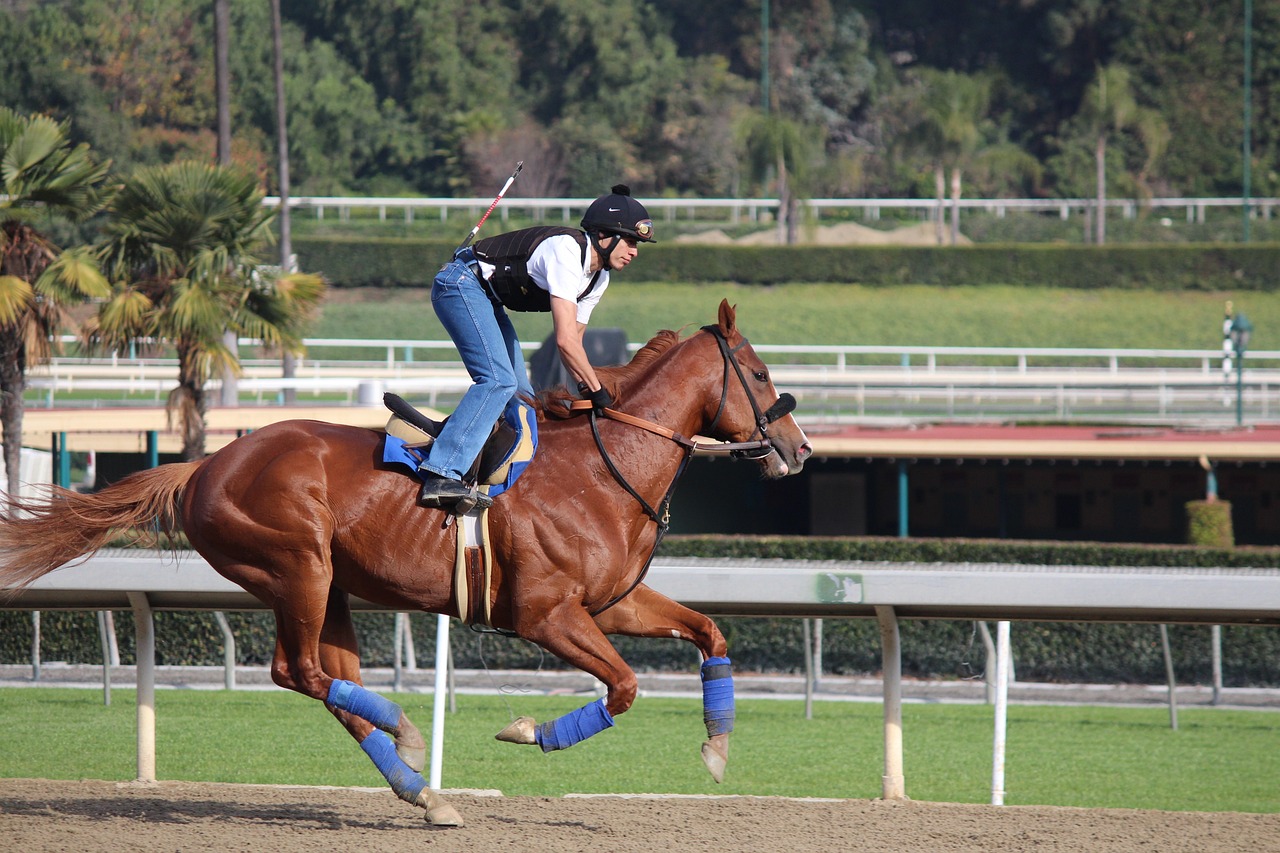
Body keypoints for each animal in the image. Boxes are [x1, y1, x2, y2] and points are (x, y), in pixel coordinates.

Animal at [0, 298, 814, 824]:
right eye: (761, 374)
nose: (799, 448)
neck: (603, 466)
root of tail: (205, 464)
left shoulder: (611, 603)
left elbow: (709, 631)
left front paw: (717, 748)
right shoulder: (544, 614)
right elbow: (622, 686)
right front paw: (529, 731)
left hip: (329, 585)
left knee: (330, 678)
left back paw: (422, 788)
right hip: (297, 566)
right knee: (300, 671)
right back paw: (411, 737)